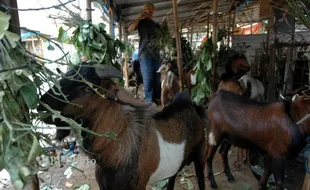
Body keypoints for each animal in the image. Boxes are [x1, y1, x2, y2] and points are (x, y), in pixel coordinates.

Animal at [38, 62, 208, 190]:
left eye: (87, 87)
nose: (41, 105)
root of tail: (192, 106)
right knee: (172, 178)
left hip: (200, 155)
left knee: (200, 179)